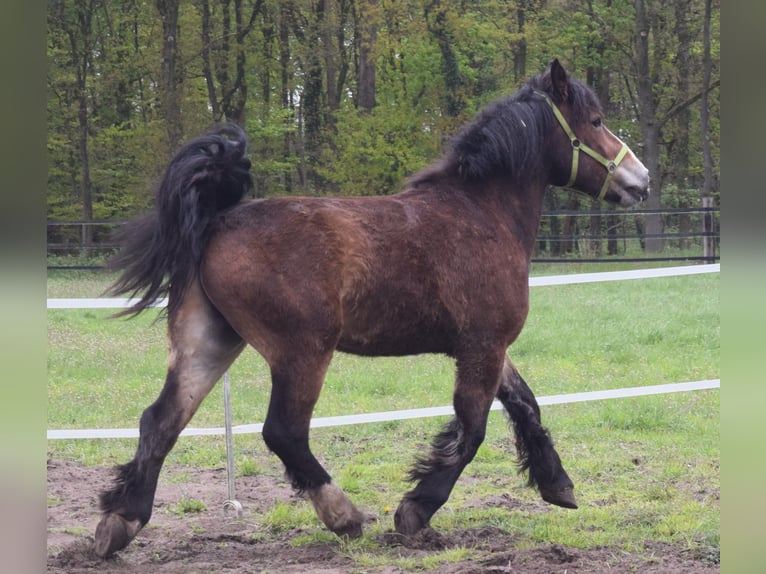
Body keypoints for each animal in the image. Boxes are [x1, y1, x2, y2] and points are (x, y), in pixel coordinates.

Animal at [93, 60, 652, 560]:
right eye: (595, 121)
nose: (641, 180)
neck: (482, 213)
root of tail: (217, 222)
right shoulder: (483, 346)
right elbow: (471, 430)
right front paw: (415, 512)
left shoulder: (487, 348)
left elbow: (525, 404)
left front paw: (558, 484)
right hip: (302, 353)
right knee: (283, 432)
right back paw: (343, 516)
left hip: (209, 343)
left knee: (160, 421)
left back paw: (120, 523)